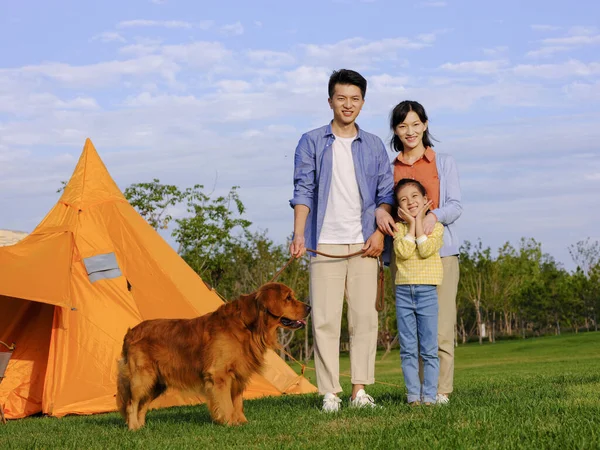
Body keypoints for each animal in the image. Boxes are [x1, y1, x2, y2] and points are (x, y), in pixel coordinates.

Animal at [116, 284, 310, 430]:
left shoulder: (238, 375)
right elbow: (226, 403)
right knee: (132, 403)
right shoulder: (219, 375)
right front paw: (230, 422)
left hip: (156, 382)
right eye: (288, 298)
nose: (309, 307)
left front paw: (242, 422)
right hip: (142, 378)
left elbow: (238, 402)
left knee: (142, 405)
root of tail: (130, 332)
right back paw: (133, 427)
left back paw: (141, 427)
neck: (248, 326)